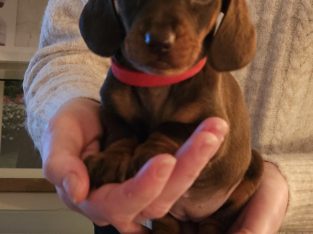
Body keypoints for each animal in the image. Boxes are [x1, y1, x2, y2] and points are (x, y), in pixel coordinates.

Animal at [79, 0, 262, 232]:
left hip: (254, 167)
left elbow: (170, 127)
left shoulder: (214, 123)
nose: (158, 41)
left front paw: (152, 150)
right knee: (167, 220)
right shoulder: (111, 110)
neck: (157, 82)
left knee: (216, 219)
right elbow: (120, 132)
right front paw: (111, 158)